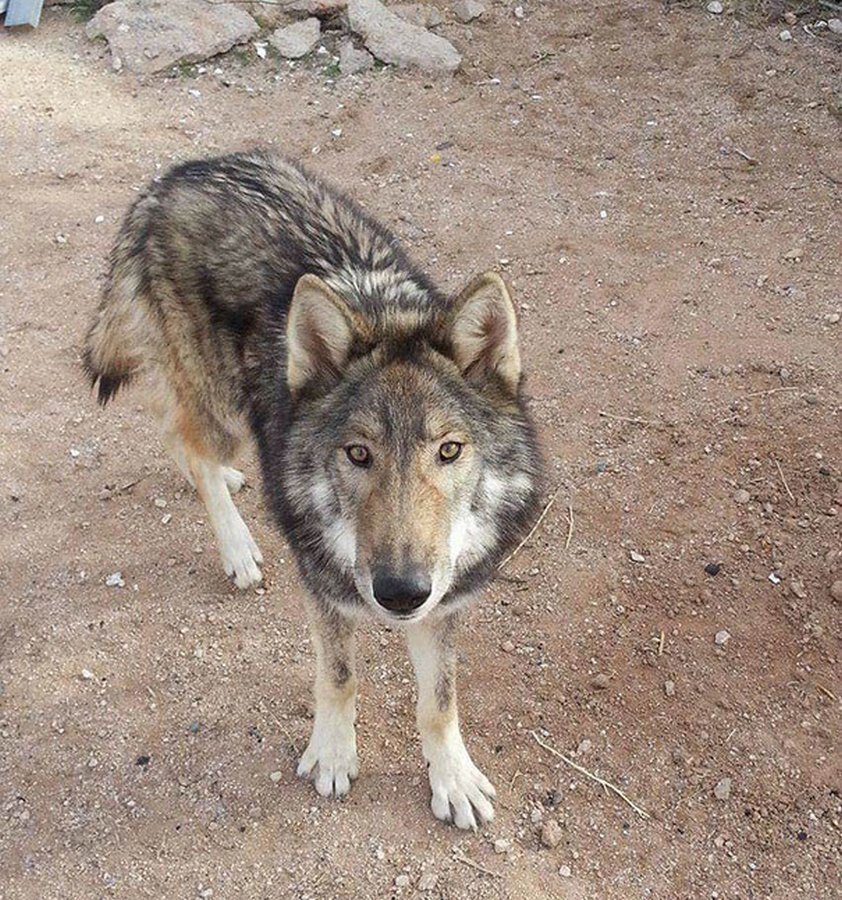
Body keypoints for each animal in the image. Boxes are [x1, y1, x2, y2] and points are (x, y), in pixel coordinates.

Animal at [82, 149, 540, 828]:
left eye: (449, 451)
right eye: (358, 453)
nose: (399, 593)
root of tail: (176, 174)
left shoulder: (442, 604)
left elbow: (438, 701)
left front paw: (453, 779)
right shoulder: (323, 589)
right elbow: (340, 678)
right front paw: (332, 755)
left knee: (177, 433)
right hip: (219, 404)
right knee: (186, 439)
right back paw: (238, 548)